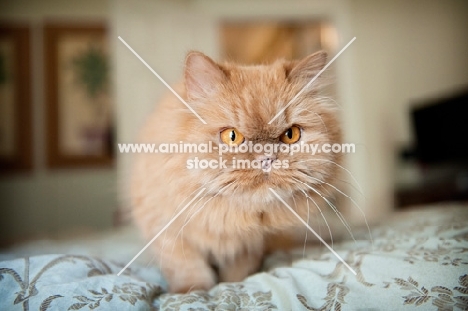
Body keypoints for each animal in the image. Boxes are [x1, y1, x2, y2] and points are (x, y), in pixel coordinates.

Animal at [132, 50, 340, 294]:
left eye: (291, 135)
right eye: (232, 136)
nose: (266, 159)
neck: (228, 216)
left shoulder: (250, 245)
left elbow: (237, 272)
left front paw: (233, 285)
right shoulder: (166, 230)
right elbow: (187, 267)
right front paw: (192, 291)